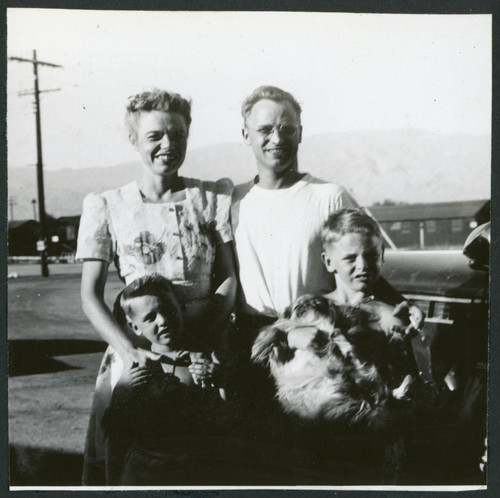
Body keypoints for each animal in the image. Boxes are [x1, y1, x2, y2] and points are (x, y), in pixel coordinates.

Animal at [250, 296, 414, 428]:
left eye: (317, 302)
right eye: (297, 306)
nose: (306, 305)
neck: (316, 323)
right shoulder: (286, 327)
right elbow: (275, 331)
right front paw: (261, 347)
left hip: (362, 379)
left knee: (370, 376)